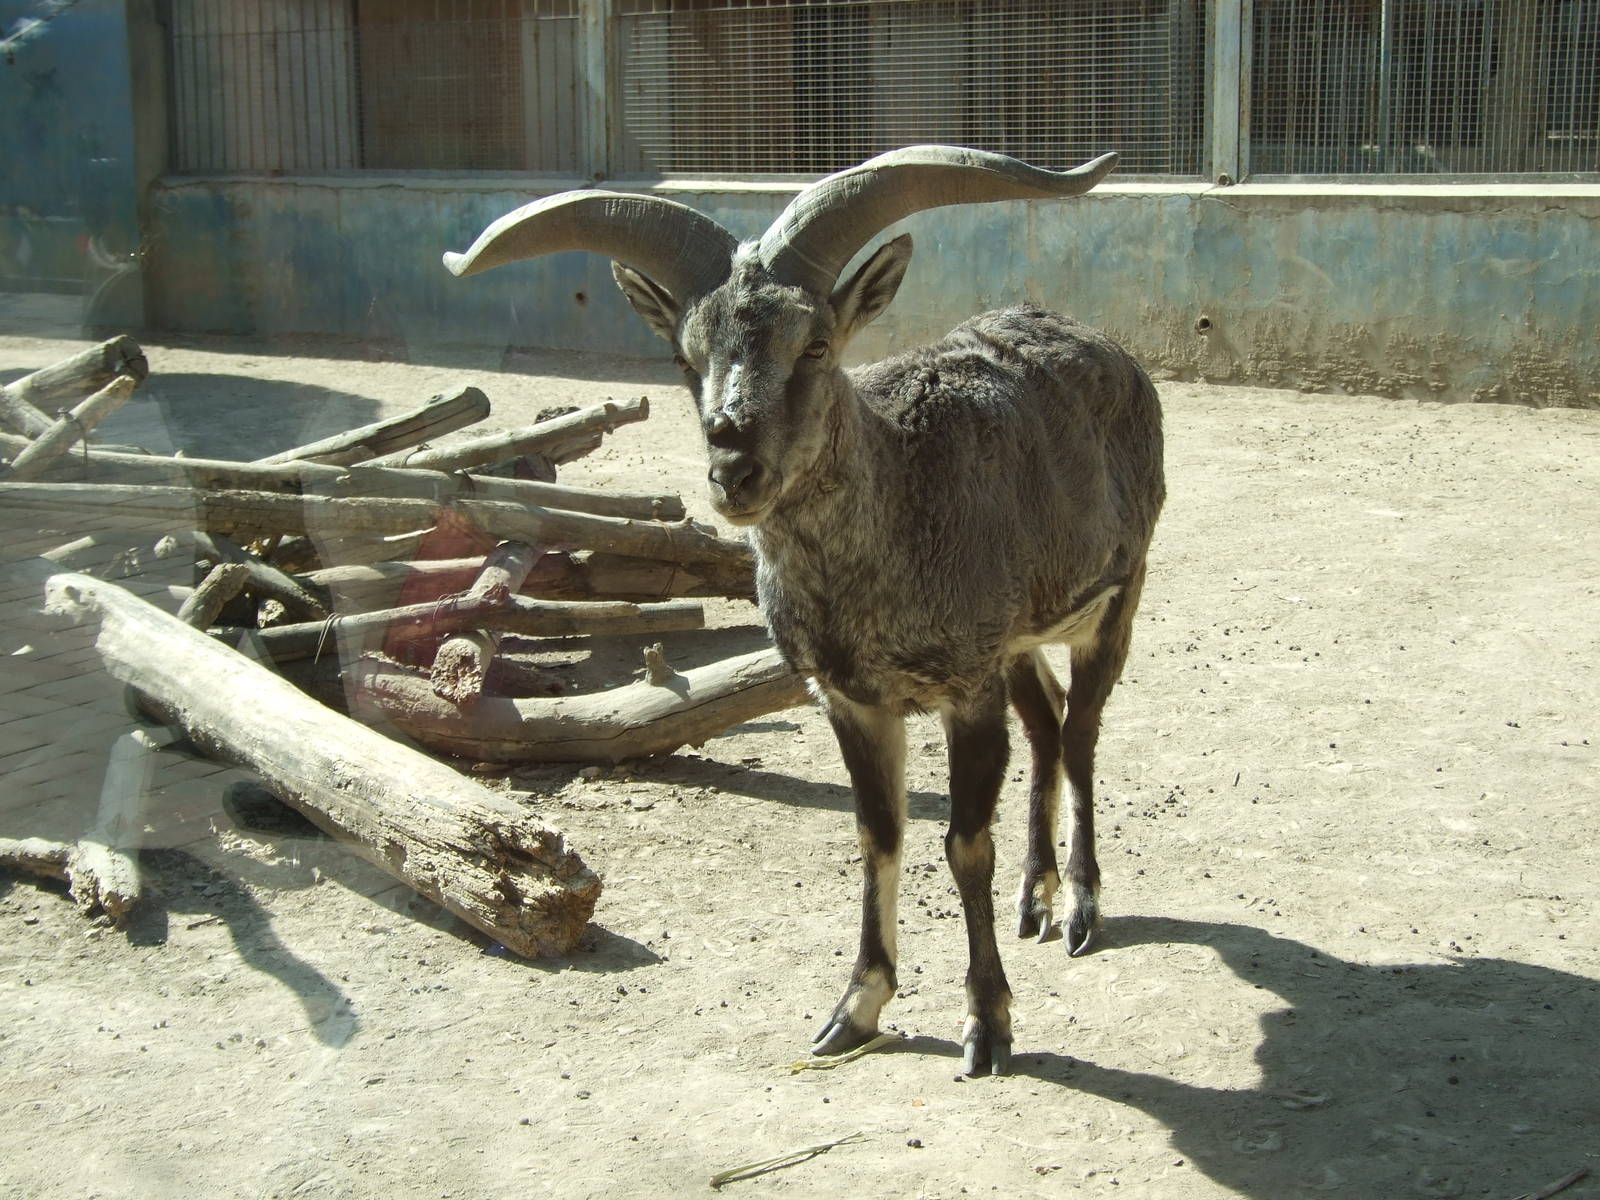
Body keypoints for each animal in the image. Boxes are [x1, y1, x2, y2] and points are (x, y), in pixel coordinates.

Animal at [445, 146, 1165, 1076]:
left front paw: (988, 1023)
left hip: (1118, 594)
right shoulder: (854, 697)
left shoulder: (966, 685)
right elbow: (878, 836)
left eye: (815, 343)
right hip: (1021, 636)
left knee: (1078, 734)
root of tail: (1111, 350)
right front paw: (854, 1010)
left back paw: (1078, 906)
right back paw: (1034, 900)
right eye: (685, 356)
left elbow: (963, 844)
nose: (734, 467)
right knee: (1045, 725)